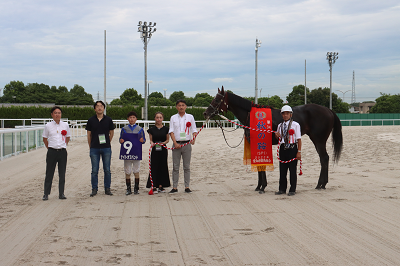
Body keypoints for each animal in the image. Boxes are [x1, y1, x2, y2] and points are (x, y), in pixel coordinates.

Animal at [203, 86, 344, 190]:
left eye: (217, 100)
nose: (205, 113)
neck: (252, 117)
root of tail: (328, 110)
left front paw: (261, 187)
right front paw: (260, 186)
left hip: (318, 140)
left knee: (324, 158)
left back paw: (320, 184)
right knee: (324, 158)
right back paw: (322, 184)